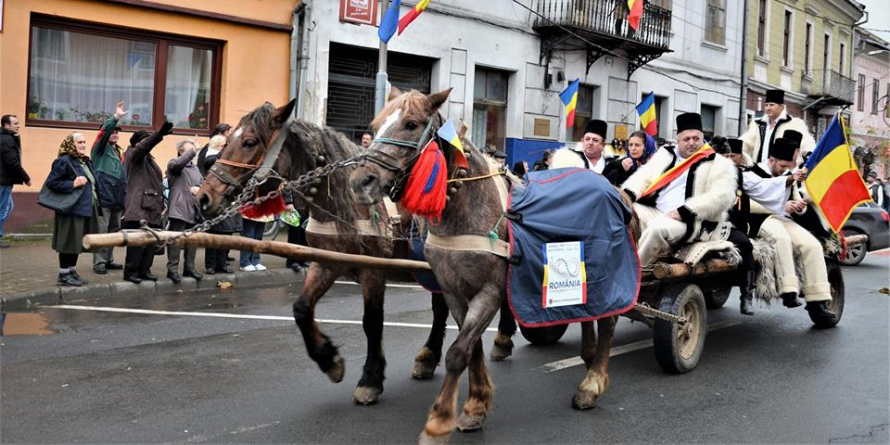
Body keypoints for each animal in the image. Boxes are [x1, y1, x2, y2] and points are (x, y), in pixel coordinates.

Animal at [194, 100, 512, 406]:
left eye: (249, 142)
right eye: (227, 140)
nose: (204, 197)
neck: (343, 200)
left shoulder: (374, 270)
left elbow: (372, 322)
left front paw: (370, 380)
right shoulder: (326, 263)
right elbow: (301, 308)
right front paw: (330, 360)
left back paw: (501, 339)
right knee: (441, 309)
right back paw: (429, 356)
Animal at [350, 88, 636, 442]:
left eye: (411, 124)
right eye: (374, 126)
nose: (361, 182)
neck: (468, 208)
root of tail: (617, 191)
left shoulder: (490, 291)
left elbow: (458, 351)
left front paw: (440, 420)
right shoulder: (454, 291)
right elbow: (470, 347)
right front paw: (476, 405)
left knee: (608, 321)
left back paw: (592, 384)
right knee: (588, 314)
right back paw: (588, 357)